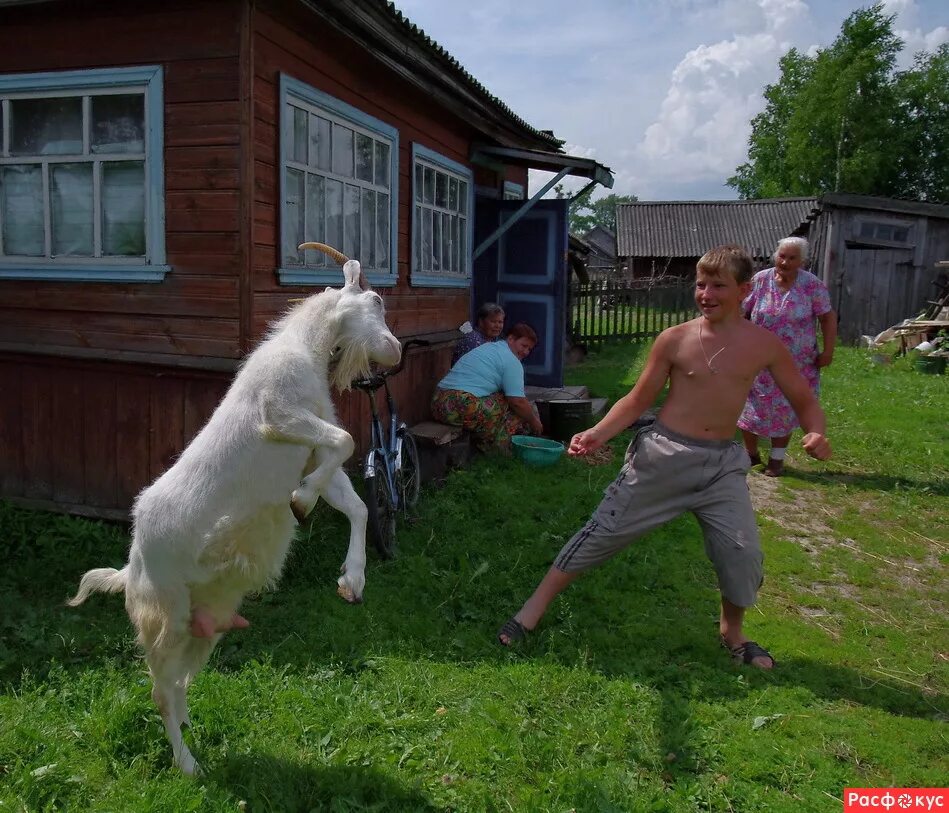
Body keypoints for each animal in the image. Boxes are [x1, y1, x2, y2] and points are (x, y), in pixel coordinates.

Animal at [67, 246, 400, 772]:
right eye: (375, 300)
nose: (397, 350)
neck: (304, 348)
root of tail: (130, 569)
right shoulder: (279, 414)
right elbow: (347, 441)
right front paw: (302, 501)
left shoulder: (311, 446)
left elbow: (353, 501)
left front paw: (351, 578)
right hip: (164, 618)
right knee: (160, 691)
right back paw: (188, 765)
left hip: (202, 626)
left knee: (180, 682)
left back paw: (188, 728)